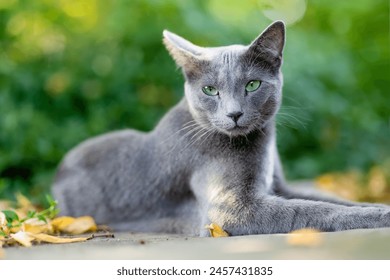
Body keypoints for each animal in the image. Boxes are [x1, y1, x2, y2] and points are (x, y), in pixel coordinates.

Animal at [52, 21, 390, 235]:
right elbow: (309, 210)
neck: (261, 142)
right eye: (210, 90)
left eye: (252, 84)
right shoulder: (230, 210)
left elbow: (331, 201)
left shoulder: (280, 186)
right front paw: (381, 215)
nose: (234, 113)